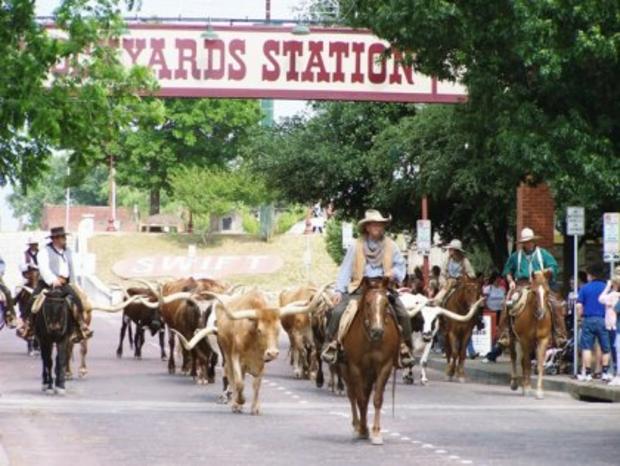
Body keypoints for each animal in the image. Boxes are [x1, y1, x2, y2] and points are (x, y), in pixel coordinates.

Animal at [340, 278, 398, 446]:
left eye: (386, 303)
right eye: (367, 303)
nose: (377, 331)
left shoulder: (385, 366)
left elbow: (377, 399)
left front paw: (376, 432)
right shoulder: (355, 367)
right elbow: (360, 399)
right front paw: (362, 430)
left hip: (370, 373)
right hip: (345, 369)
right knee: (352, 395)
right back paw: (357, 426)